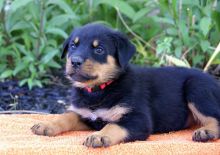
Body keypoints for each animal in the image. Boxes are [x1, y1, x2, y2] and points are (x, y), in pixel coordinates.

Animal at [31, 23, 220, 148]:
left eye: (99, 49)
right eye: (72, 46)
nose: (75, 61)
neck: (99, 90)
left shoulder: (138, 119)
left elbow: (113, 125)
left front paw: (99, 136)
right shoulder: (86, 115)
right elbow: (66, 116)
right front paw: (47, 125)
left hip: (197, 88)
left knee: (215, 117)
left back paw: (206, 132)